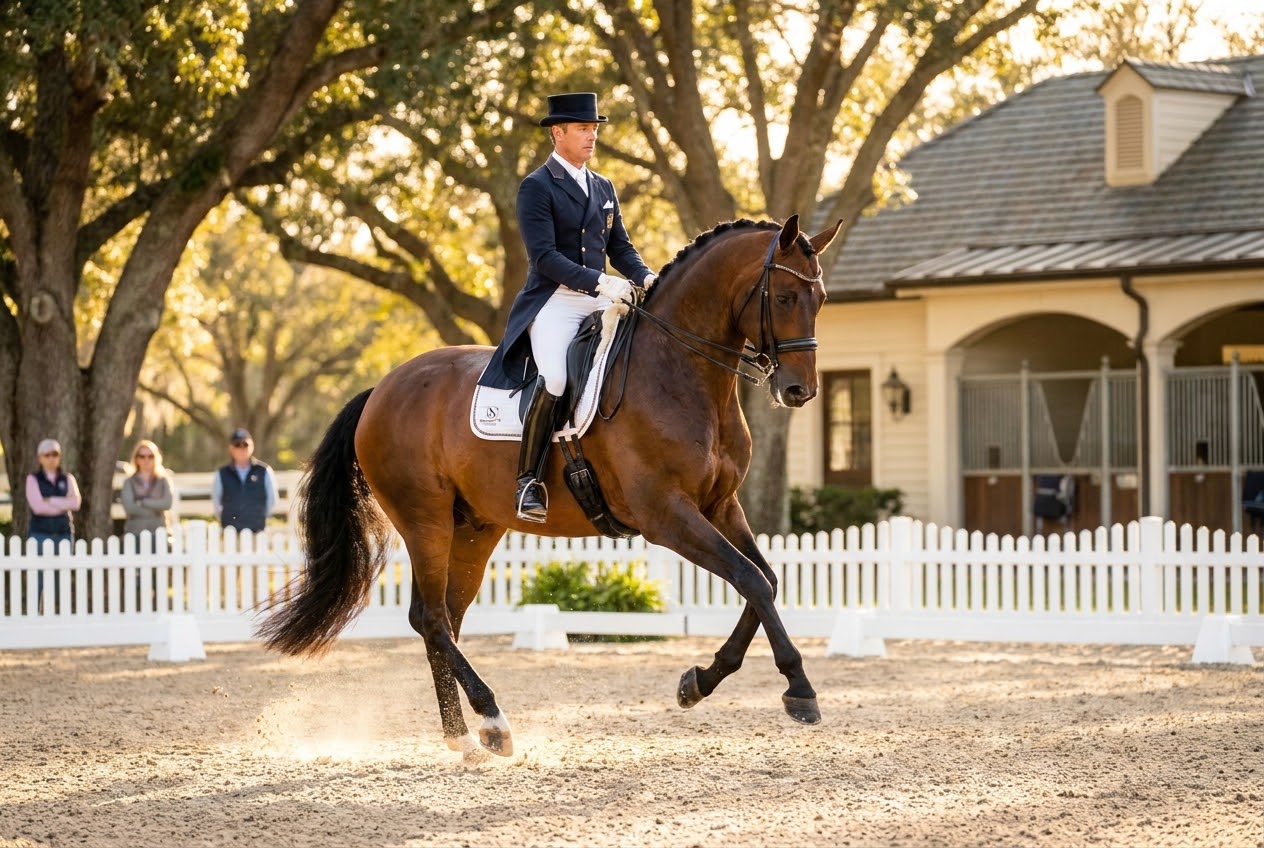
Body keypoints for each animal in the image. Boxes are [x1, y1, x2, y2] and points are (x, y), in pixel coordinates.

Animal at [257, 214, 844, 760]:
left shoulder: (721, 507)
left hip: (473, 530)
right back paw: (492, 721)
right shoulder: (667, 516)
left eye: (821, 299)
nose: (799, 391)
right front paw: (799, 689)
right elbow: (751, 579)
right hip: (425, 521)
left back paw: (461, 735)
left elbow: (766, 581)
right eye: (785, 296)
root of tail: (381, 388)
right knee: (430, 618)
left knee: (442, 619)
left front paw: (698, 682)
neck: (682, 373)